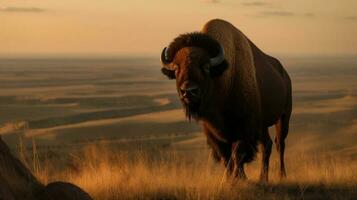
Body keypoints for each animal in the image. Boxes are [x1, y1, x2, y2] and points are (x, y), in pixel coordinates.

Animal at [160, 18, 290, 181]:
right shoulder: (214, 133)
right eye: (177, 68)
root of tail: (284, 74)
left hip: (283, 117)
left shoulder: (244, 128)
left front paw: (238, 179)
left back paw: (282, 175)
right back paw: (263, 178)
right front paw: (230, 179)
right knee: (267, 145)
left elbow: (237, 154)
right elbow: (226, 158)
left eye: (206, 67)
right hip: (263, 125)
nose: (188, 91)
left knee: (280, 144)